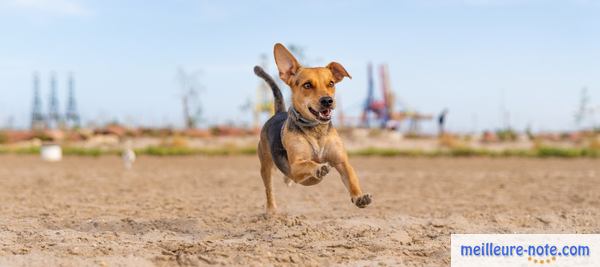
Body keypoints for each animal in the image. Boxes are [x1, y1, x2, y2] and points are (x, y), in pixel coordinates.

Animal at [252, 44, 370, 216]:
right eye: (307, 85)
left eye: (331, 83)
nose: (328, 100)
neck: (316, 129)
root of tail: (279, 113)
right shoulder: (296, 166)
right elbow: (308, 164)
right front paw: (318, 168)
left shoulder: (342, 162)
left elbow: (352, 179)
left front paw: (359, 196)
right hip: (266, 167)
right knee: (269, 190)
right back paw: (271, 210)